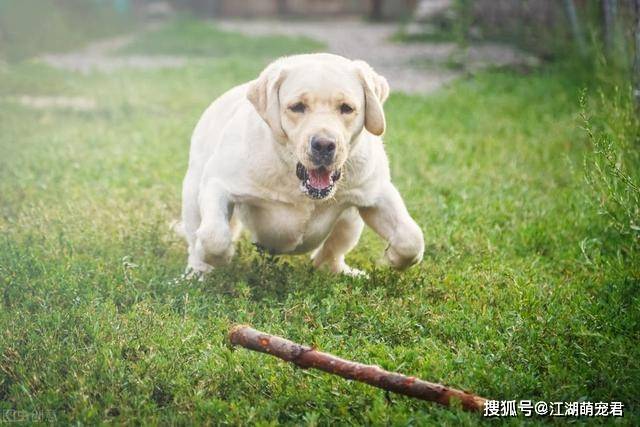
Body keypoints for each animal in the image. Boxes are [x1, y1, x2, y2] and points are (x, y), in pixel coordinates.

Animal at [178, 53, 422, 278]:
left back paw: (340, 271)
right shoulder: (218, 183)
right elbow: (213, 237)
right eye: (297, 107)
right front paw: (220, 257)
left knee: (332, 253)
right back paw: (196, 273)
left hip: (351, 221)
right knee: (197, 235)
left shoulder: (376, 191)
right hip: (191, 195)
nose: (323, 145)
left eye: (346, 108)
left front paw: (393, 258)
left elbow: (411, 239)